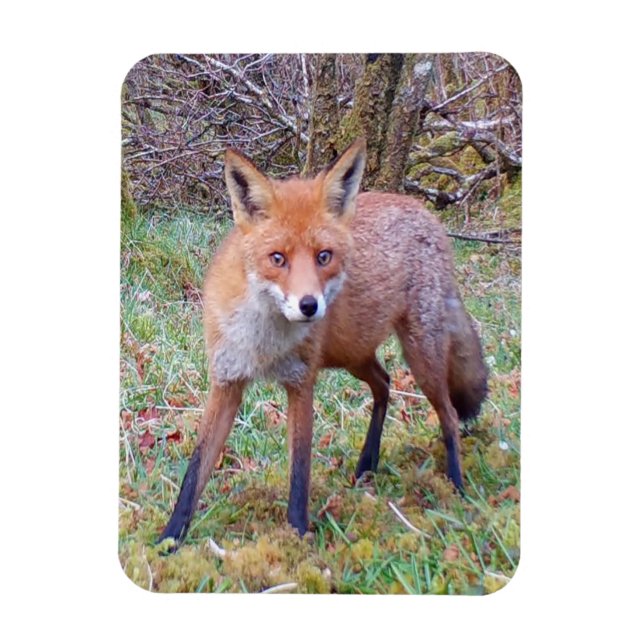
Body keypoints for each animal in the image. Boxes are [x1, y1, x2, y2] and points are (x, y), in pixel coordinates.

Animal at [159, 138, 487, 546]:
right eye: (278, 258)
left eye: (323, 257)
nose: (310, 306)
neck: (264, 342)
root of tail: (424, 212)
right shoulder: (226, 380)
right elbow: (195, 469)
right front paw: (168, 540)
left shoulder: (301, 382)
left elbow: (300, 470)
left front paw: (298, 537)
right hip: (353, 355)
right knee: (385, 384)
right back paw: (367, 464)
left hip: (419, 356)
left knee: (449, 415)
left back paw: (456, 486)